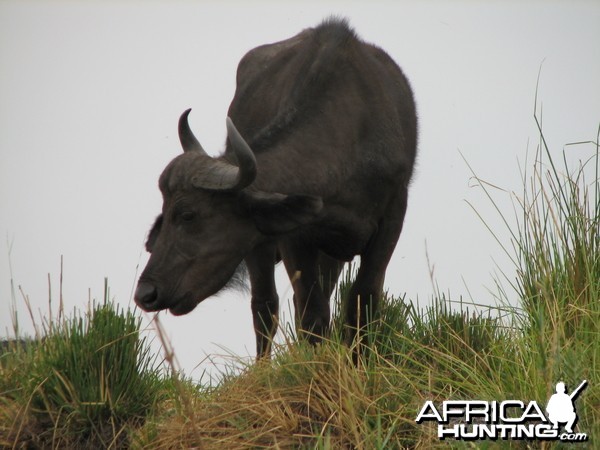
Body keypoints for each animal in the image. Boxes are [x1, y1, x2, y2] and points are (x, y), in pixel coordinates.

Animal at [135, 18, 418, 358]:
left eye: (188, 214)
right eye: (165, 213)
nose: (146, 292)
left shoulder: (392, 217)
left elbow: (363, 300)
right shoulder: (295, 235)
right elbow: (310, 312)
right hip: (260, 246)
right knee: (265, 307)